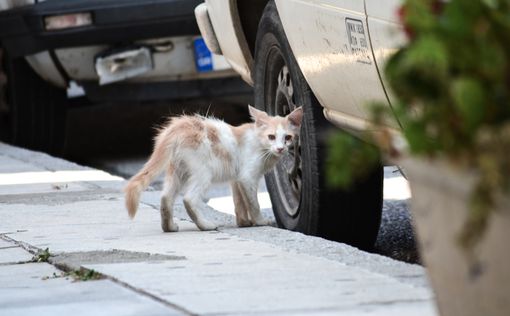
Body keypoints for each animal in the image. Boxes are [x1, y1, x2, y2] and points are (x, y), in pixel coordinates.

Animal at [124, 105, 302, 231]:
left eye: (288, 138)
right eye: (271, 137)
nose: (280, 148)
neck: (259, 142)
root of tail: (179, 127)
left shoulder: (237, 179)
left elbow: (239, 202)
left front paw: (243, 222)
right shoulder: (247, 177)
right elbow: (253, 203)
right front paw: (260, 221)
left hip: (177, 171)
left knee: (166, 197)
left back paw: (169, 227)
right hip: (203, 172)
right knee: (189, 199)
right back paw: (205, 225)